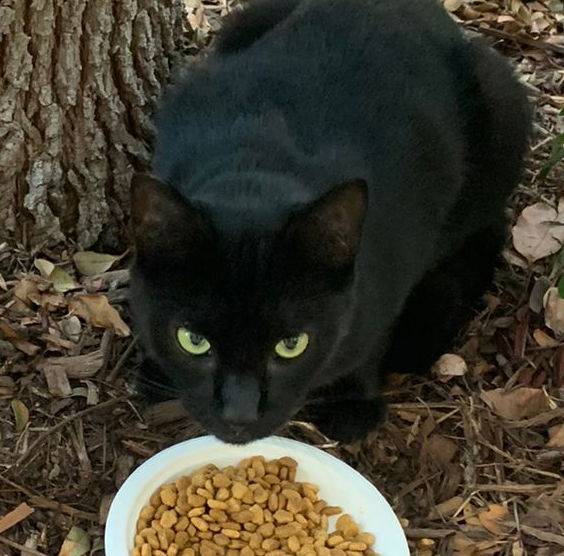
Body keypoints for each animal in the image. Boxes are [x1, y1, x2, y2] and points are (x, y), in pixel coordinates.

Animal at [130, 0, 532, 444]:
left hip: (502, 107)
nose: (240, 414)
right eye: (193, 341)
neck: (257, 173)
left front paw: (354, 403)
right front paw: (155, 366)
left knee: (490, 230)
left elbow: (369, 339)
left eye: (292, 344)